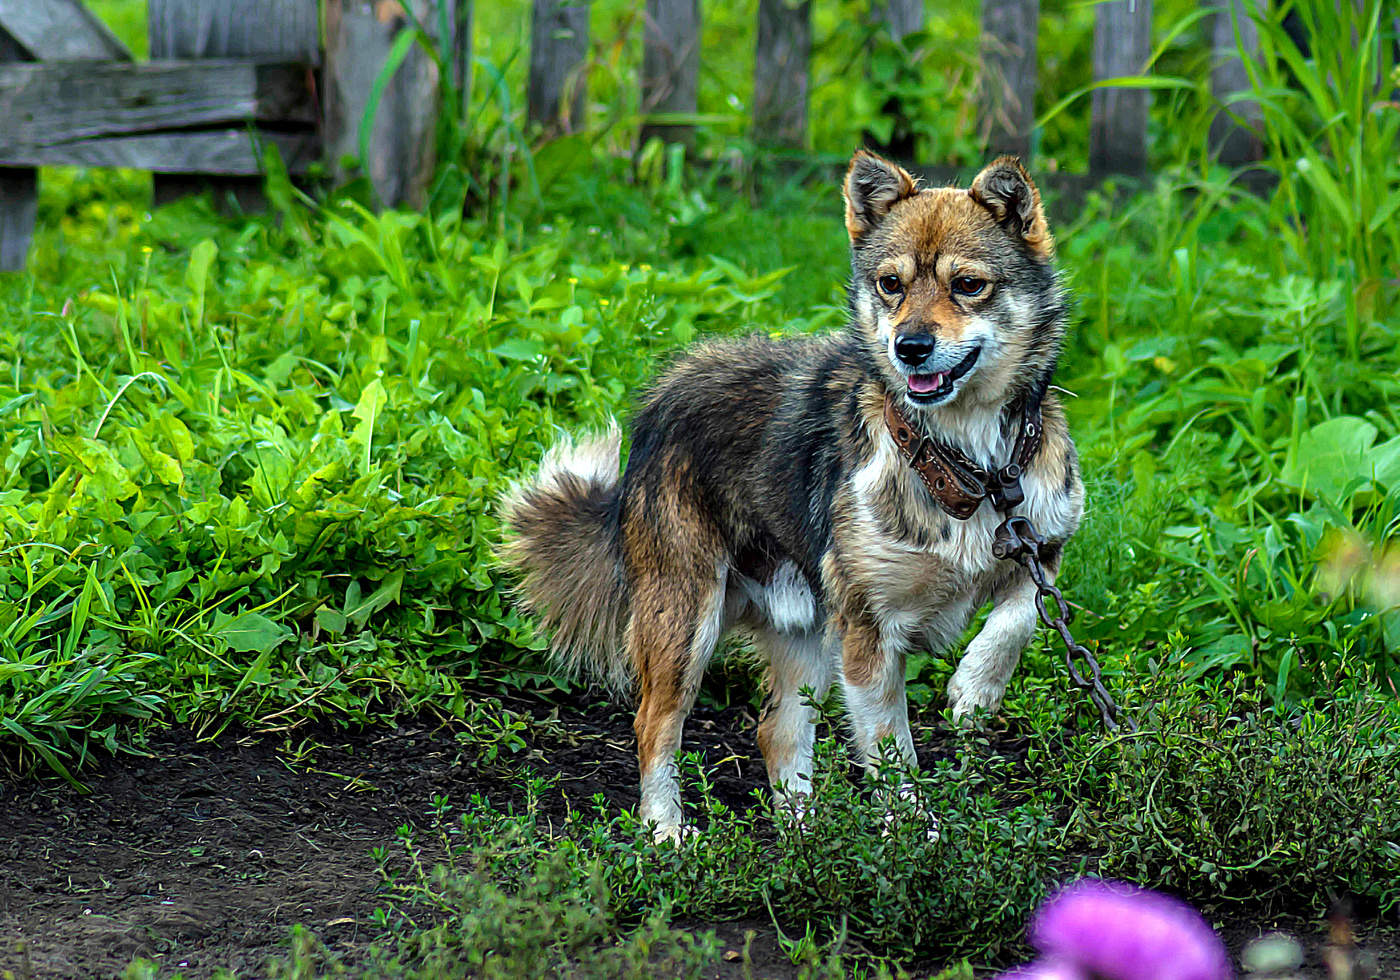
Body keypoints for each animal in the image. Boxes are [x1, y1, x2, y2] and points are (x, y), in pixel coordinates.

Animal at [501, 149, 1080, 840]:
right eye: (890, 284)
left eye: (968, 284)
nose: (909, 347)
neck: (967, 461)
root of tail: (663, 397)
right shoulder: (867, 628)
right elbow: (892, 749)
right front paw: (915, 837)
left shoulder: (1041, 549)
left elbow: (1020, 618)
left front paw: (976, 689)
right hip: (685, 616)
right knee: (654, 724)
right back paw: (668, 831)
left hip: (805, 627)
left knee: (775, 729)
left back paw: (807, 834)